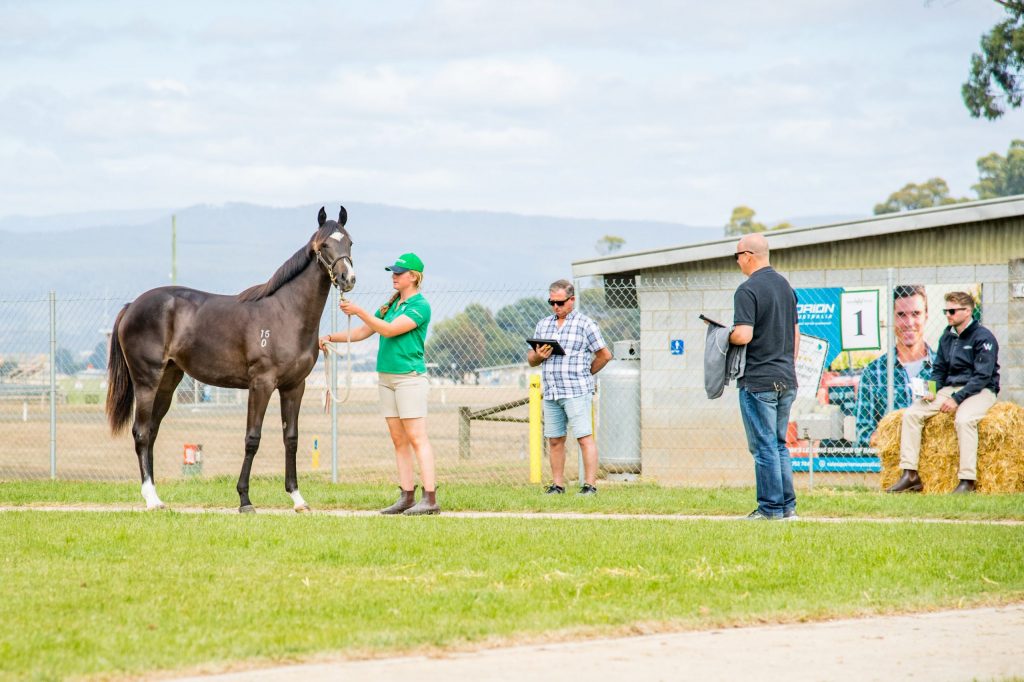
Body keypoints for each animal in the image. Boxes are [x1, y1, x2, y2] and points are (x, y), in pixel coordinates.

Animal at [105, 205, 356, 509]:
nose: (348, 279)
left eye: (349, 242)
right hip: (146, 381)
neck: (286, 313)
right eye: (324, 245)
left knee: (151, 431)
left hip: (167, 381)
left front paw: (297, 498)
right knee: (141, 432)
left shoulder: (294, 387)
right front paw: (245, 499)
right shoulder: (261, 384)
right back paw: (152, 500)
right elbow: (252, 438)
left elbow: (291, 439)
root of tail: (132, 307)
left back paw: (154, 493)